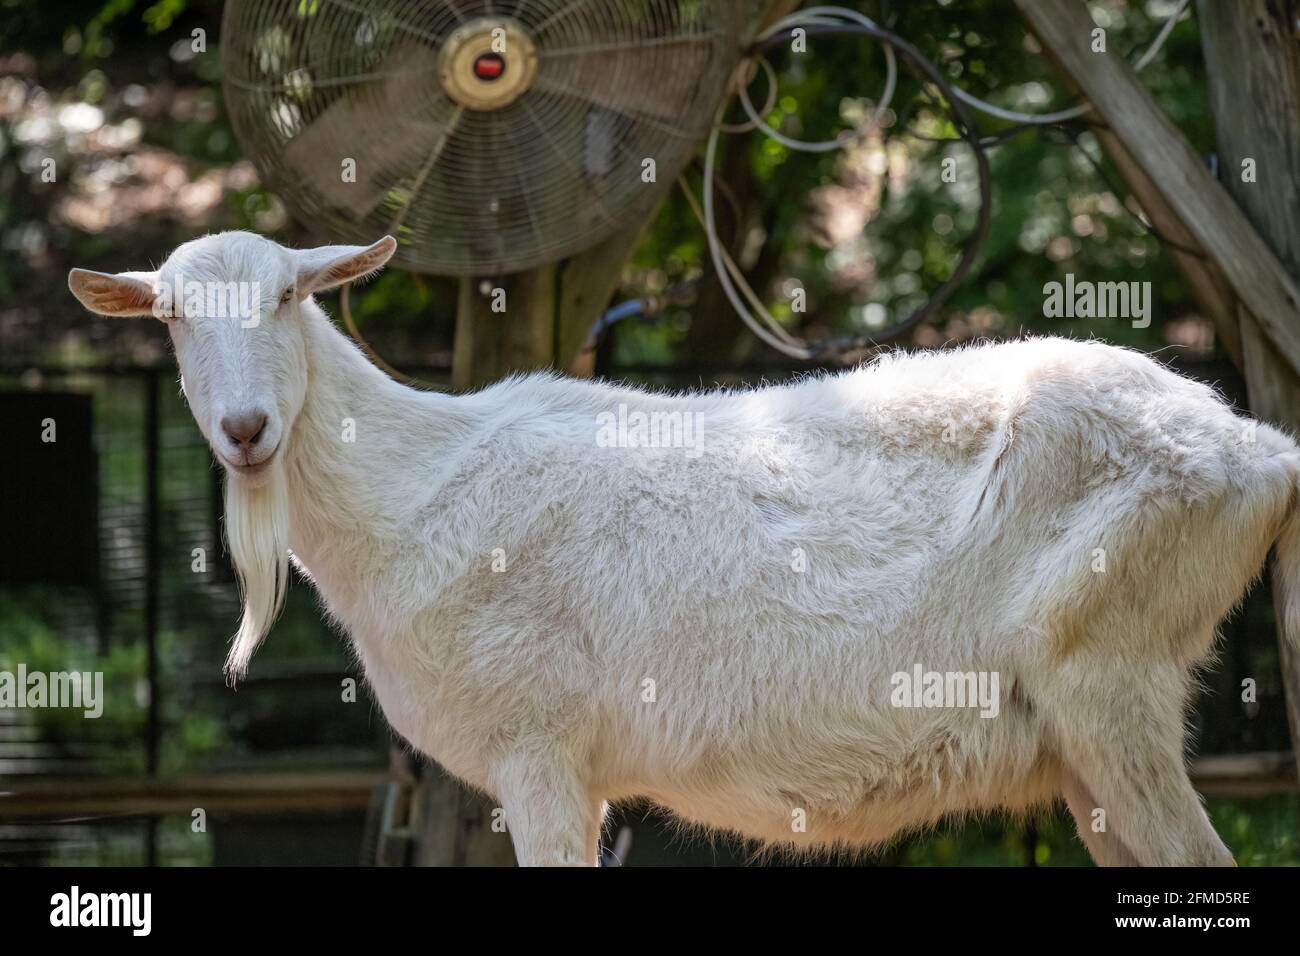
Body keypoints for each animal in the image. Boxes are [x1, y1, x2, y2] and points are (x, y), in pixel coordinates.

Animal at [73, 230, 1300, 868]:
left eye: (288, 293)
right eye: (170, 314)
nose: (245, 430)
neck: (415, 493)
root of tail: (1264, 454)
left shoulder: (539, 745)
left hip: (1113, 664)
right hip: (1079, 747)